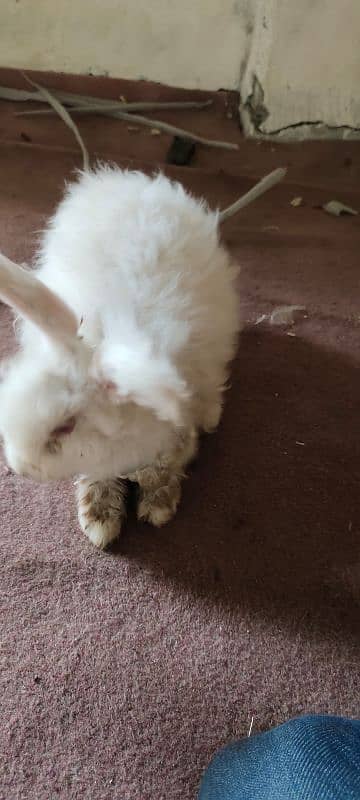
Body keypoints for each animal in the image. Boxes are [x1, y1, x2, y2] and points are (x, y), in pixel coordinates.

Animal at [0, 162, 286, 552]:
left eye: (65, 426)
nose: (18, 466)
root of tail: (132, 180)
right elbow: (99, 478)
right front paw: (100, 521)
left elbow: (165, 467)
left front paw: (158, 505)